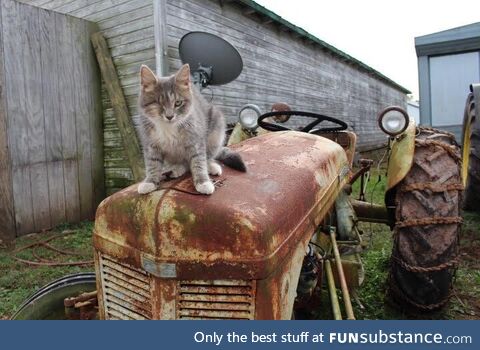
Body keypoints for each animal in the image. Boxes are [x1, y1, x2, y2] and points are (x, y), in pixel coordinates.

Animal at [137, 63, 246, 194]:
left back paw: (210, 166)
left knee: (206, 157)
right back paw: (177, 168)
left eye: (178, 103)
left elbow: (198, 161)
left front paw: (203, 182)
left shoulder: (196, 140)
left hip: (215, 130)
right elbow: (152, 162)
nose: (169, 116)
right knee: (184, 164)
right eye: (159, 103)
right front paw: (150, 181)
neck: (168, 127)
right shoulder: (150, 144)